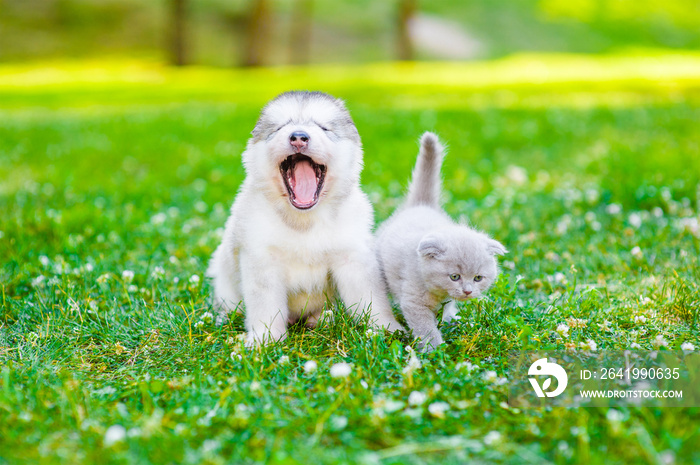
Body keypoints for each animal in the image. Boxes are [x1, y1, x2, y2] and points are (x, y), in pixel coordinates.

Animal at [206, 89, 404, 344]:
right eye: (280, 127)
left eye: (323, 127)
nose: (299, 137)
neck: (305, 220)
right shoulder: (262, 261)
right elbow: (265, 307)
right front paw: (265, 340)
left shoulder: (354, 259)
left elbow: (372, 299)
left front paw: (387, 328)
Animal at [374, 132, 506, 350]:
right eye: (454, 276)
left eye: (478, 278)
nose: (467, 291)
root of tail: (421, 204)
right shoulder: (414, 302)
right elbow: (426, 328)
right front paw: (434, 350)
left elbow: (447, 307)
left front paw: (448, 320)